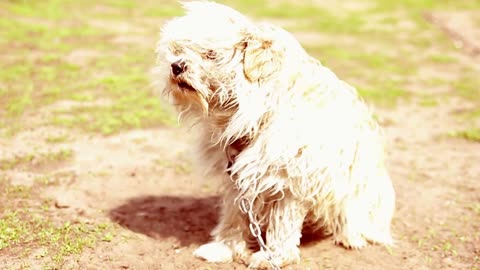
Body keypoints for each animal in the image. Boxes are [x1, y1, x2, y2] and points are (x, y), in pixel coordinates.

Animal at [153, 1, 394, 268]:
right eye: (178, 50)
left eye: (211, 54)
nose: (176, 66)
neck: (255, 113)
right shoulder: (237, 177)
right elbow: (233, 216)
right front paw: (225, 248)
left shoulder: (289, 181)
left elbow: (283, 225)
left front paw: (275, 257)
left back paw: (351, 236)